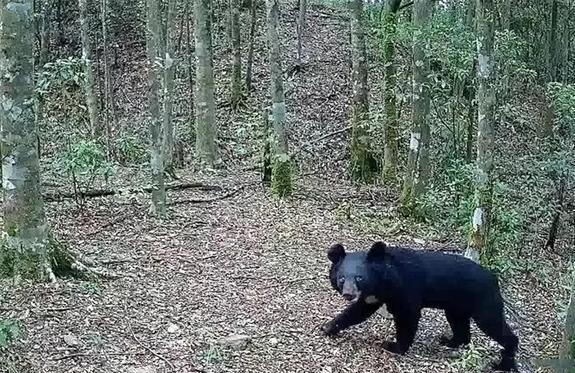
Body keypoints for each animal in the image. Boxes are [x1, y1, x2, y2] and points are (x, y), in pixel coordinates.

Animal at [324, 240, 516, 370]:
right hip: (456, 305)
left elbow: (408, 317)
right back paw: (450, 341)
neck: (383, 281)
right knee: (460, 325)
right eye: (341, 278)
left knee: (495, 325)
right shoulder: (373, 297)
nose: (349, 294)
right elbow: (358, 311)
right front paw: (328, 327)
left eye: (359, 278)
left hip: (483, 301)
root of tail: (494, 279)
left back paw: (503, 362)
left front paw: (393, 346)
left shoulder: (406, 290)